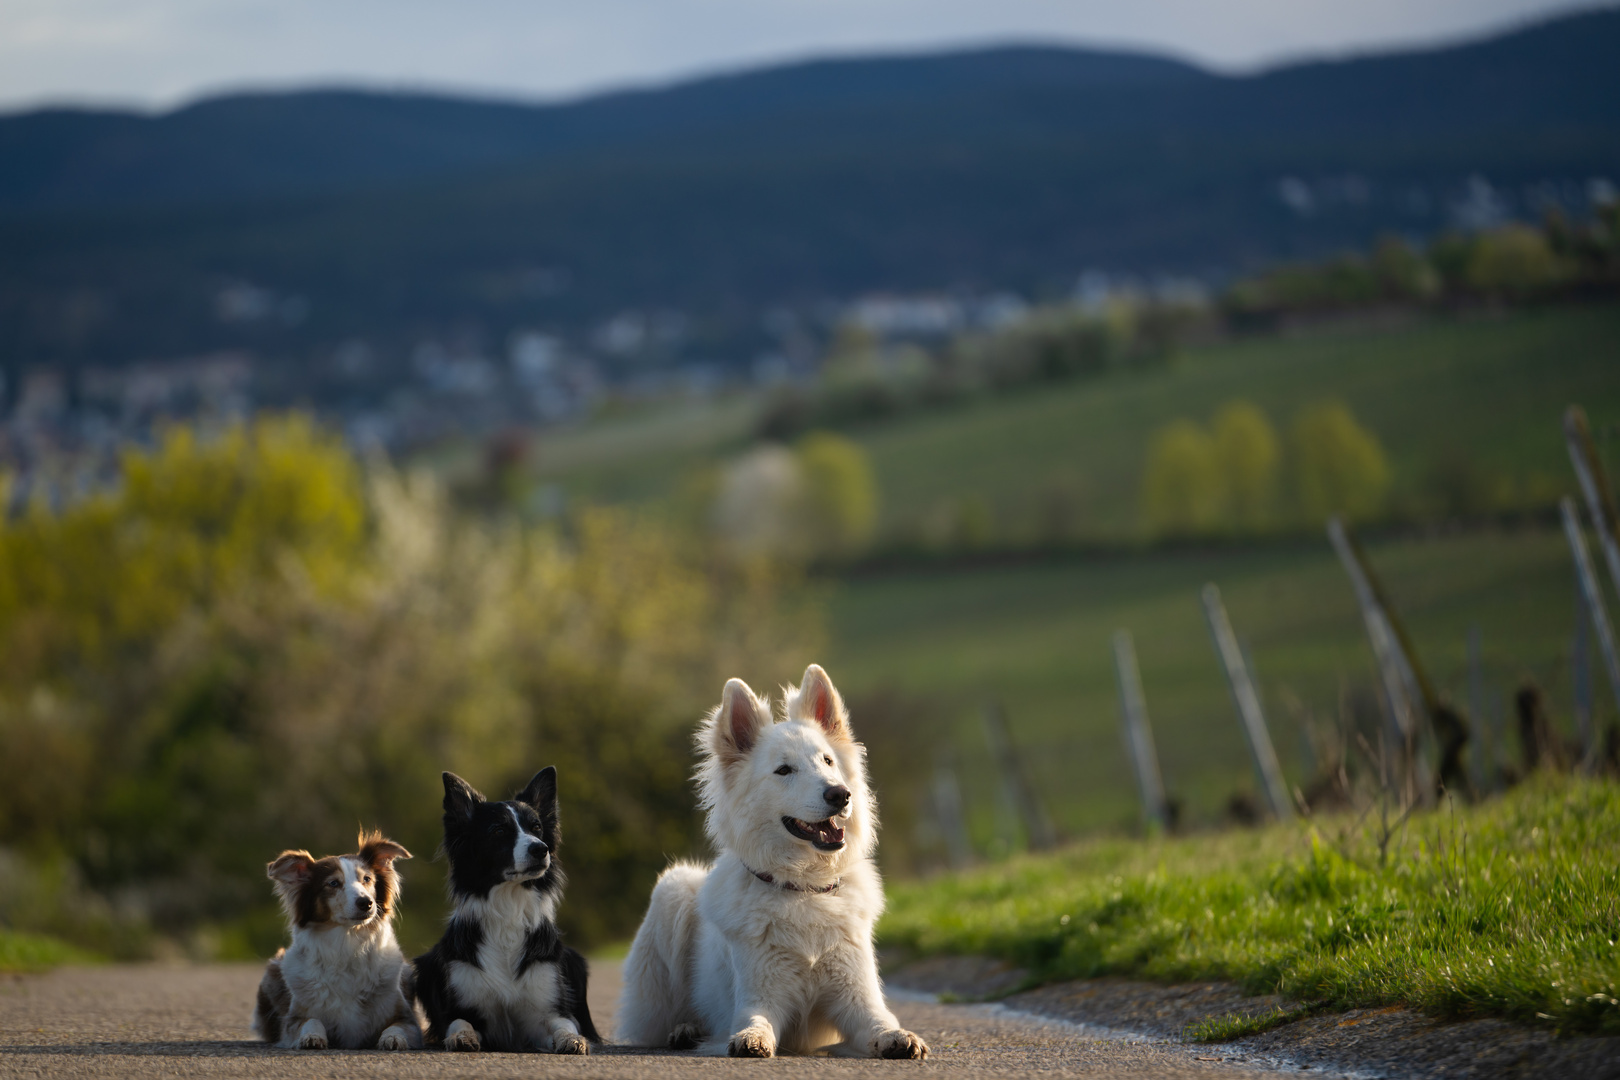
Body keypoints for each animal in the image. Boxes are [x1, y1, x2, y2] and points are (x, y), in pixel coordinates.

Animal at [249, 835, 421, 1049]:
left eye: (367, 879)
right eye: (333, 883)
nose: (366, 903)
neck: (347, 941)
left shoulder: (408, 1019)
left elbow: (397, 1027)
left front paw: (393, 1038)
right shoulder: (292, 1021)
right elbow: (311, 1020)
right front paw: (312, 1037)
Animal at [612, 663, 933, 1062]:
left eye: (828, 761)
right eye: (784, 770)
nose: (840, 794)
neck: (804, 887)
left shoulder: (857, 1001)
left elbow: (880, 1022)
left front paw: (898, 1036)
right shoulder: (760, 996)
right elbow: (756, 1021)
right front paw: (751, 1039)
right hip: (674, 888)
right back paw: (686, 1030)